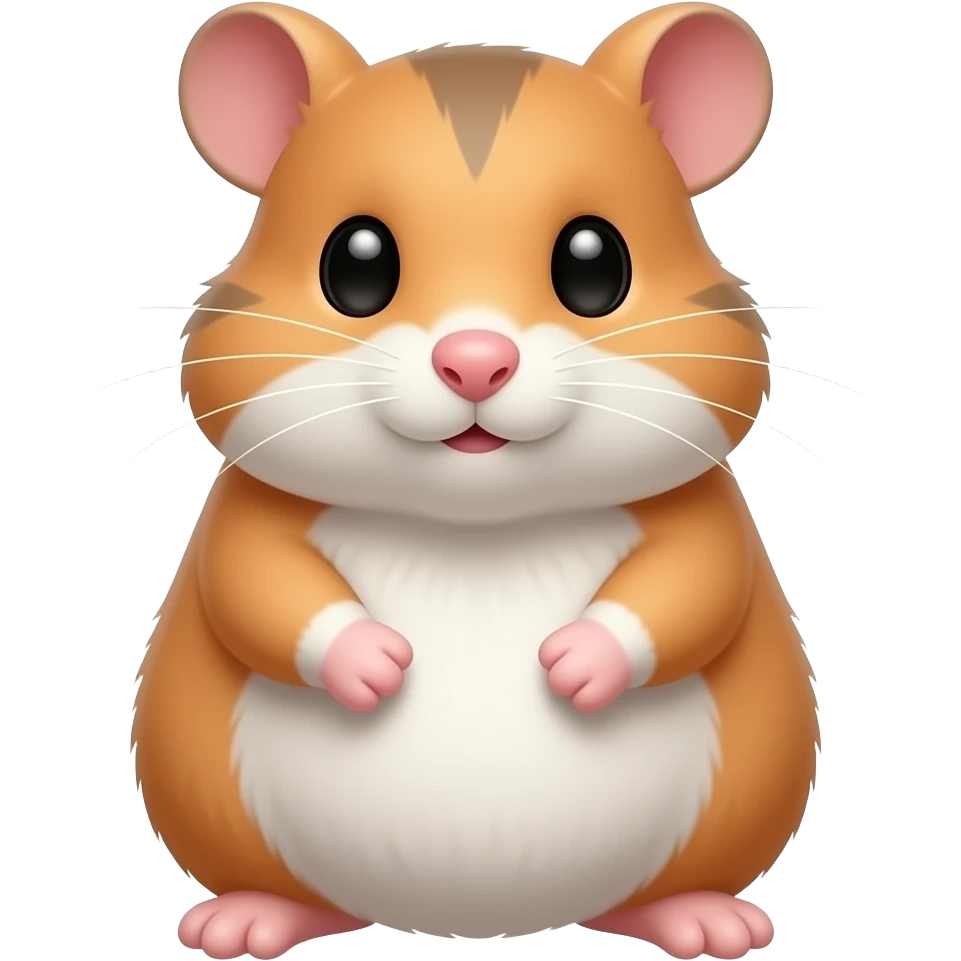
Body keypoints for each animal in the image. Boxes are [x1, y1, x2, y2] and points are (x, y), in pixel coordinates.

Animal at [131, 3, 820, 958]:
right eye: (355, 265)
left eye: (594, 265)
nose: (475, 360)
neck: (475, 529)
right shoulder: (247, 514)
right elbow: (255, 588)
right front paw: (372, 662)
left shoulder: (703, 513)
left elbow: (695, 588)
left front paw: (577, 663)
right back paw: (252, 916)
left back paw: (699, 916)